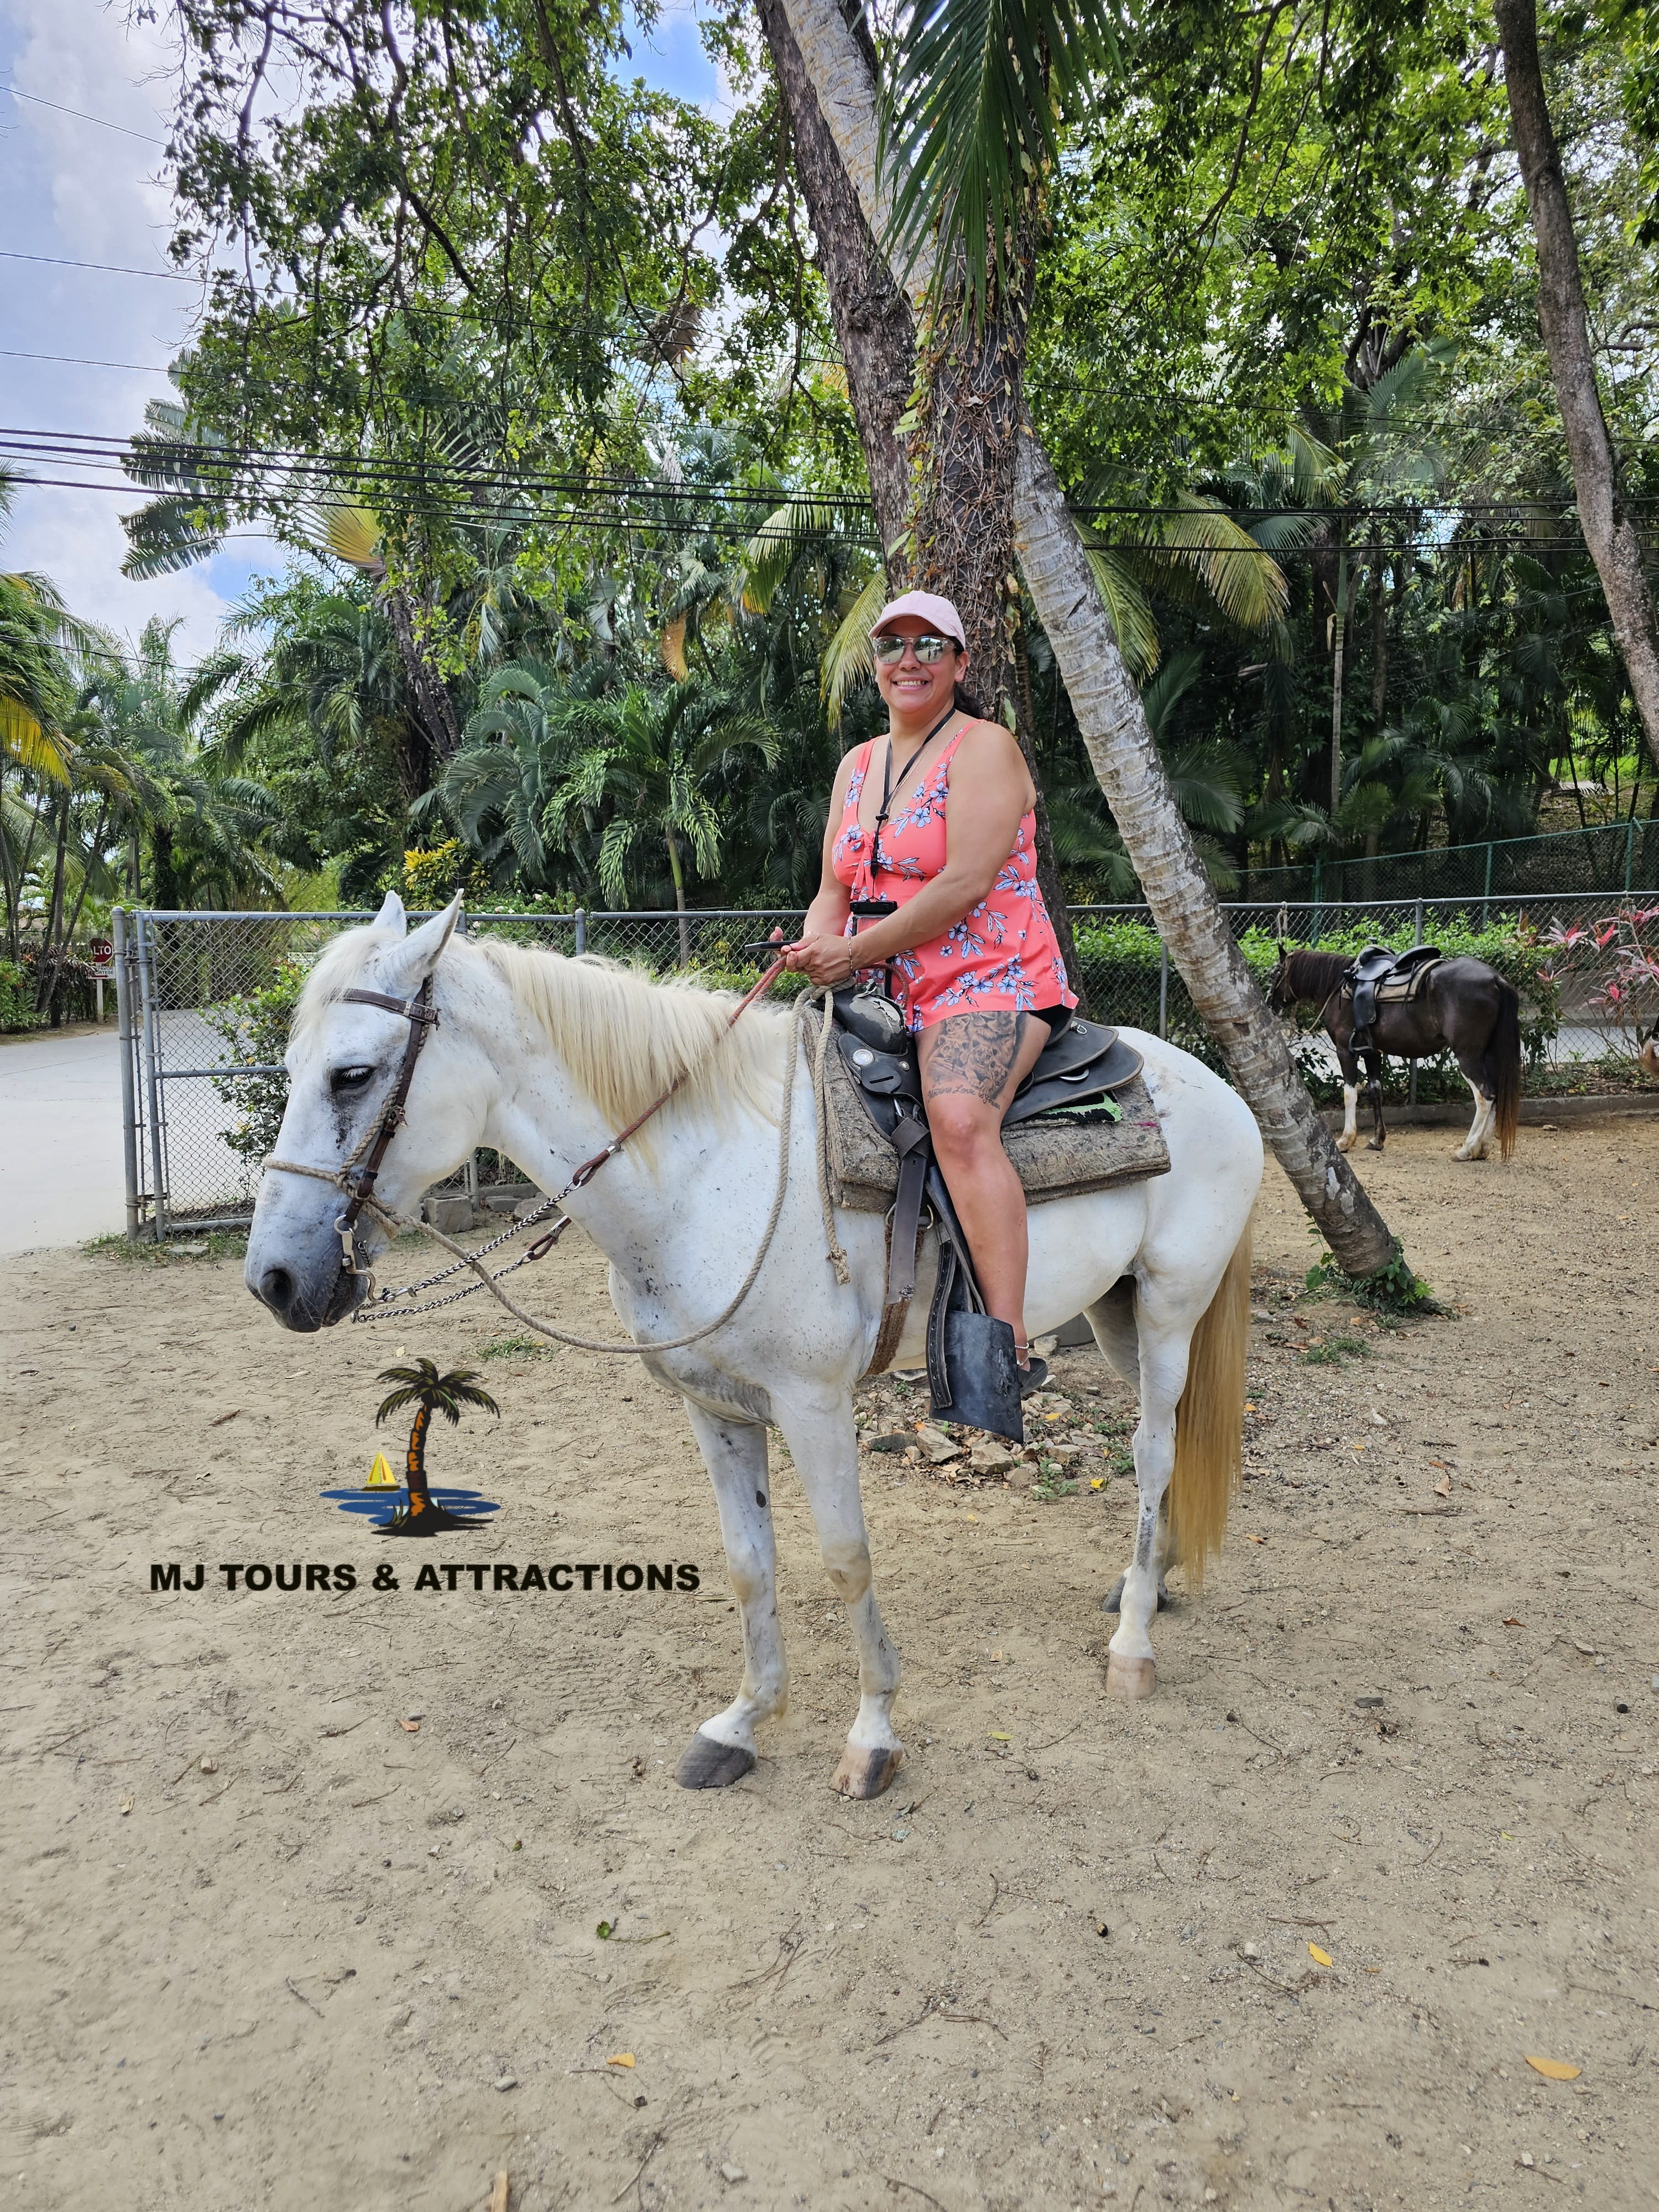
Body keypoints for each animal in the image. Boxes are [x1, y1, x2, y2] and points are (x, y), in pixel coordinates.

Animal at [244, 893, 1263, 1799]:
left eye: (351, 1075)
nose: (276, 1281)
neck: (702, 1177)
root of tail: (1221, 1089)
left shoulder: (813, 1406)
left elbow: (847, 1559)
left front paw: (872, 1738)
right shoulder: (712, 1406)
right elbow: (748, 1562)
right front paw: (740, 1725)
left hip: (1169, 1309)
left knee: (1153, 1452)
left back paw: (1132, 1645)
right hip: (1117, 1316)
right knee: (1167, 1453)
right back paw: (1148, 1586)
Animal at [1266, 944, 1522, 1162]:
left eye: (1274, 974)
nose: (1270, 1005)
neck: (1338, 985)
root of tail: (1496, 979)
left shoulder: (1345, 1051)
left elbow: (1350, 1094)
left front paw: (1346, 1140)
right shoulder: (1372, 1052)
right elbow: (1375, 1090)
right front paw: (1377, 1140)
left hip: (1468, 1056)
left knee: (1484, 1096)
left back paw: (1467, 1149)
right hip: (1488, 1055)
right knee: (1496, 1094)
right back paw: (1482, 1149)